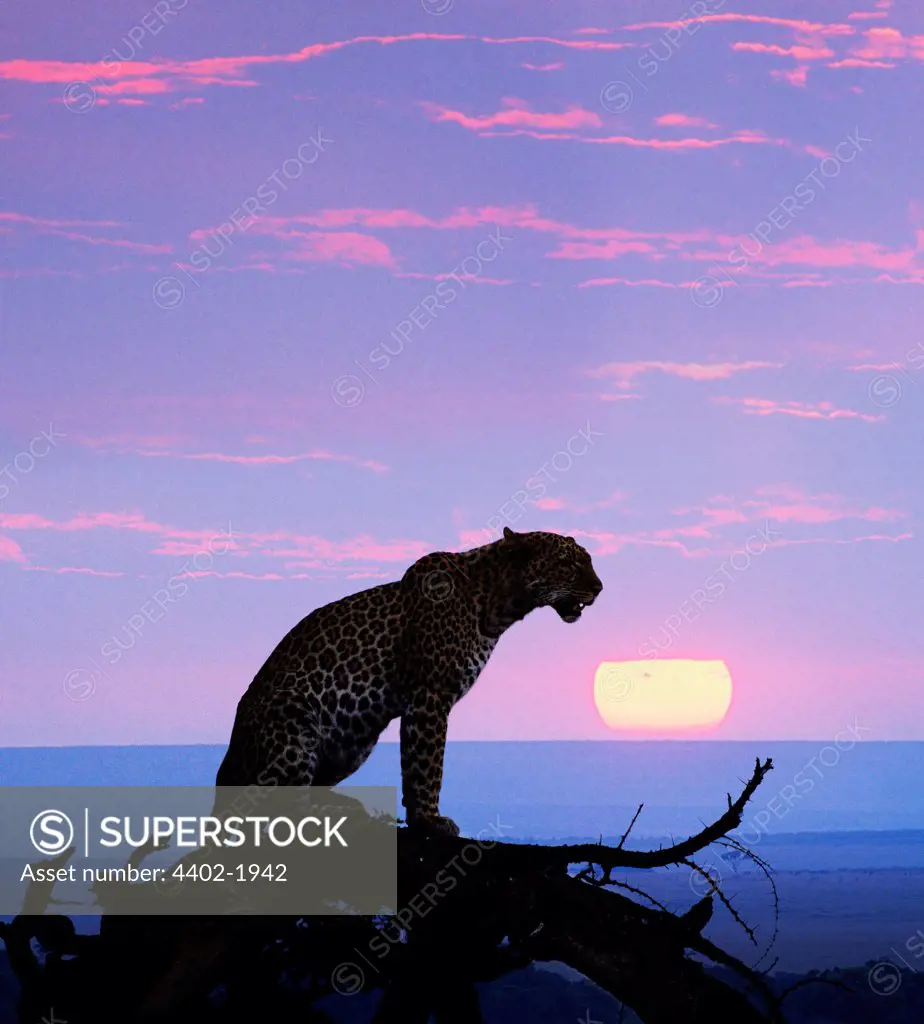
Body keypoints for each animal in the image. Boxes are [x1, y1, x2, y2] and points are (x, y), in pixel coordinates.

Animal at [217, 528, 606, 831]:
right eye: (568, 563)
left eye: (588, 561)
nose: (600, 588)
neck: (496, 604)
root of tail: (225, 771)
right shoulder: (430, 695)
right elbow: (426, 762)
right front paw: (430, 819)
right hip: (294, 723)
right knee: (281, 811)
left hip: (354, 742)